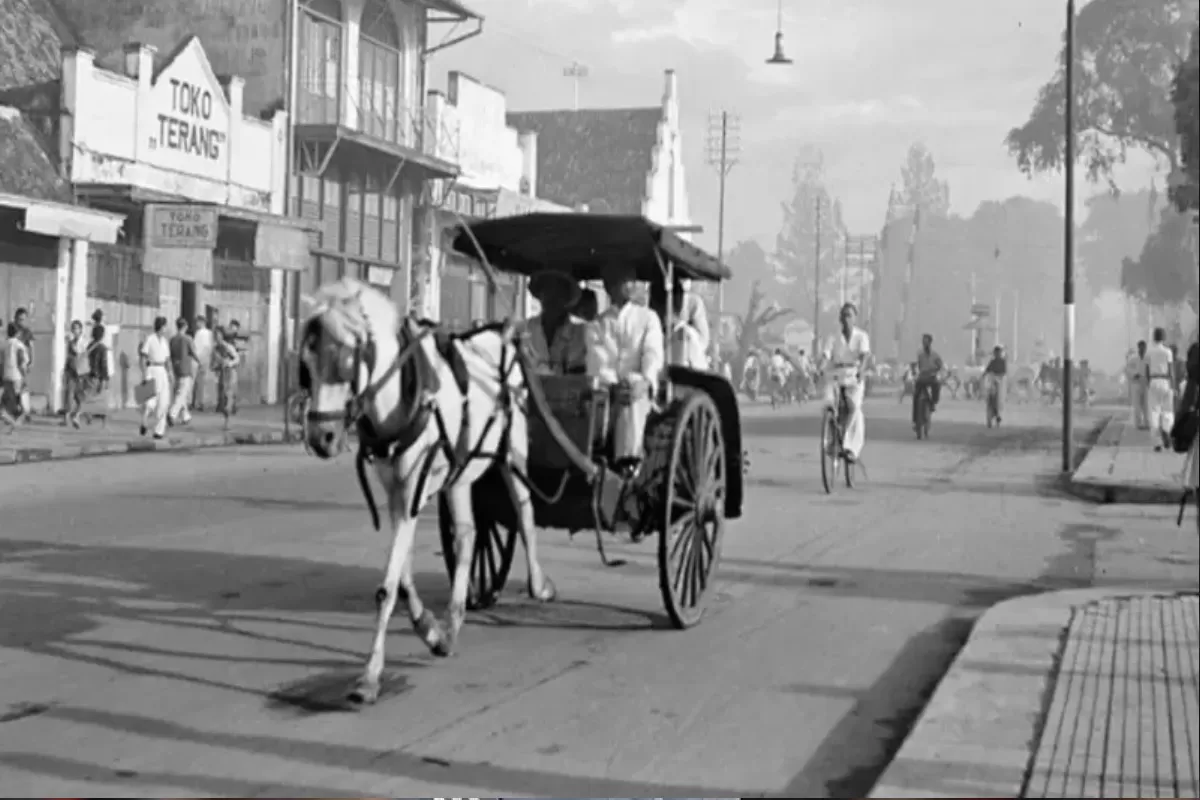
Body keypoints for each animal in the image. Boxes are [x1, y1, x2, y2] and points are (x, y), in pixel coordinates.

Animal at [295, 278, 556, 705]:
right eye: (306, 364)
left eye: (348, 357)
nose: (322, 437)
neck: (399, 395)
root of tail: (501, 336)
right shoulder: (395, 492)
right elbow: (402, 579)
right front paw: (429, 629)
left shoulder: (413, 489)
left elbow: (387, 587)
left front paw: (369, 676)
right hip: (461, 471)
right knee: (468, 537)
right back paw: (453, 624)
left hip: (512, 448)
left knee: (525, 511)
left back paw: (538, 585)